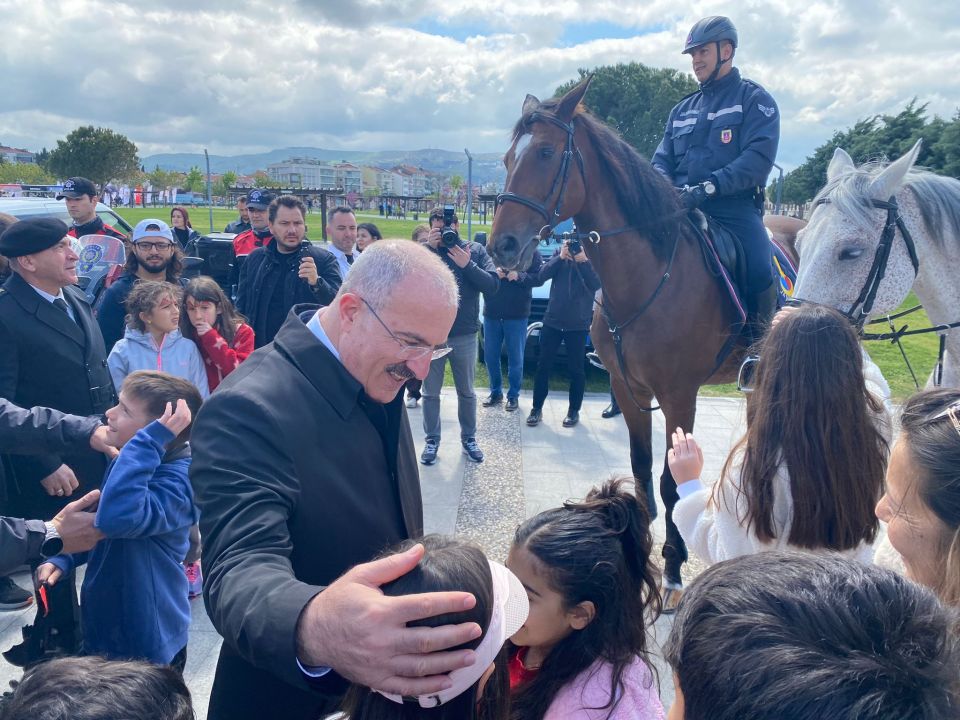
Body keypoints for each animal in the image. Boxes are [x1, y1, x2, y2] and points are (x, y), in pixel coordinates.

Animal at [488, 78, 766, 599]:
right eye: (507, 158)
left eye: (547, 153)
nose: (502, 247)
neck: (648, 276)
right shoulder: (627, 388)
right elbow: (640, 468)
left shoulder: (678, 396)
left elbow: (672, 484)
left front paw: (673, 564)